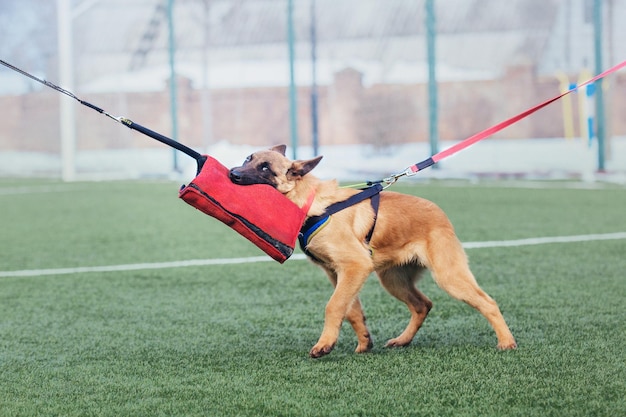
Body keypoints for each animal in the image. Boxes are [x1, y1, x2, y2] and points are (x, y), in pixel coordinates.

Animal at [227, 145, 516, 356]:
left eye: (265, 168)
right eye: (248, 158)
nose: (232, 174)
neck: (311, 203)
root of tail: (440, 213)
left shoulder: (355, 266)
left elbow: (334, 306)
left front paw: (324, 344)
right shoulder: (338, 273)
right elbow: (351, 310)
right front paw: (363, 342)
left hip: (448, 276)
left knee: (488, 302)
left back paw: (506, 342)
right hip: (393, 279)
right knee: (422, 305)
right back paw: (402, 340)